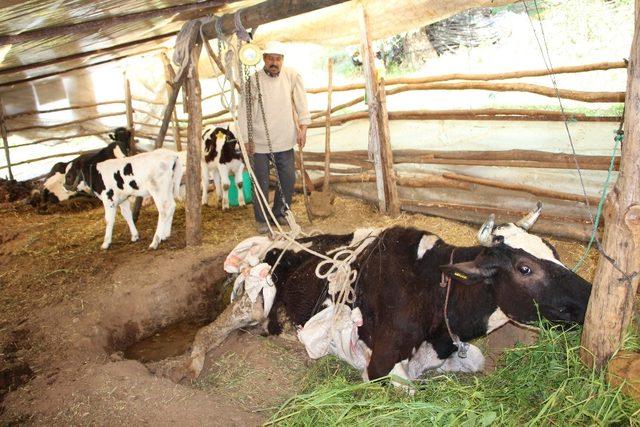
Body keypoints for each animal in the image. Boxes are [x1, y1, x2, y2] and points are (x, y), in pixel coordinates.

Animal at [184, 202, 592, 386]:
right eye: (525, 269)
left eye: (554, 250)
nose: (590, 296)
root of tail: (277, 239)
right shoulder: (379, 365)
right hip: (251, 303)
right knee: (206, 331)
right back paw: (193, 367)